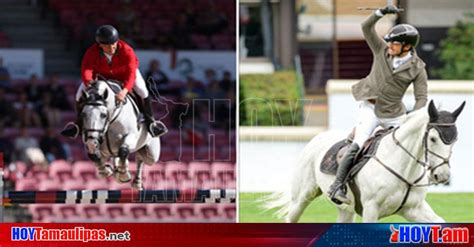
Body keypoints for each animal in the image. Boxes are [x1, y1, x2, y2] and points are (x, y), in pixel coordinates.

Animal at [264, 100, 464, 222]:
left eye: (455, 140)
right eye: (433, 139)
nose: (442, 176)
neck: (404, 167)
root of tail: (317, 137)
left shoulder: (415, 209)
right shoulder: (371, 210)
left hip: (346, 210)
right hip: (301, 198)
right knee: (292, 217)